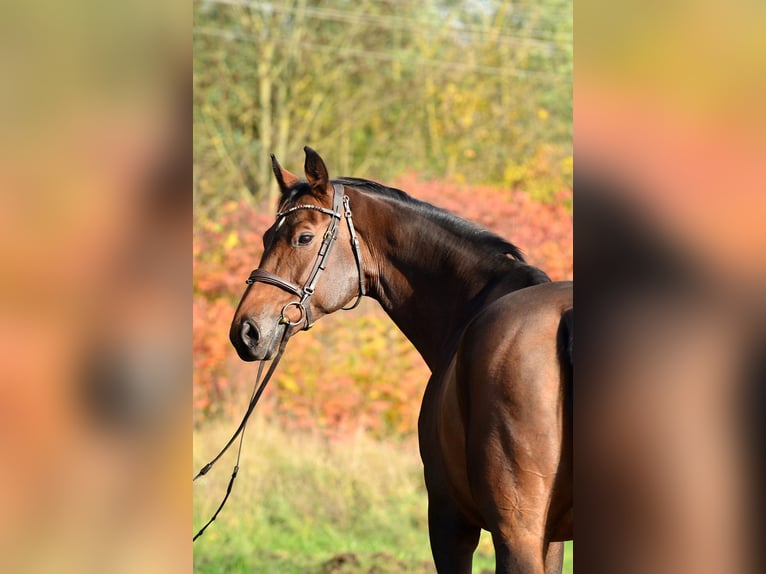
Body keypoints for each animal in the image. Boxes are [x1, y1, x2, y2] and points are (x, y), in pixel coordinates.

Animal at [229, 147, 573, 573]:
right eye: (265, 237)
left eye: (303, 237)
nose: (246, 331)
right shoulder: (550, 539)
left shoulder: (449, 520)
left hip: (516, 531)